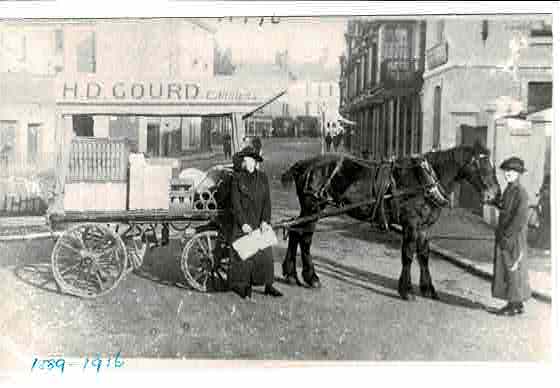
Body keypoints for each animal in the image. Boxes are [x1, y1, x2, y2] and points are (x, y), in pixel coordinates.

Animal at [280, 142, 498, 300]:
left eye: (493, 165)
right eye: (480, 165)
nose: (494, 195)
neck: (424, 180)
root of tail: (304, 164)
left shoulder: (423, 228)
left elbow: (424, 255)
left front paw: (428, 289)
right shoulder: (411, 224)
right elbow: (408, 254)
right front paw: (406, 290)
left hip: (309, 209)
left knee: (294, 231)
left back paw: (291, 274)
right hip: (314, 207)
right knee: (305, 238)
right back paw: (311, 277)